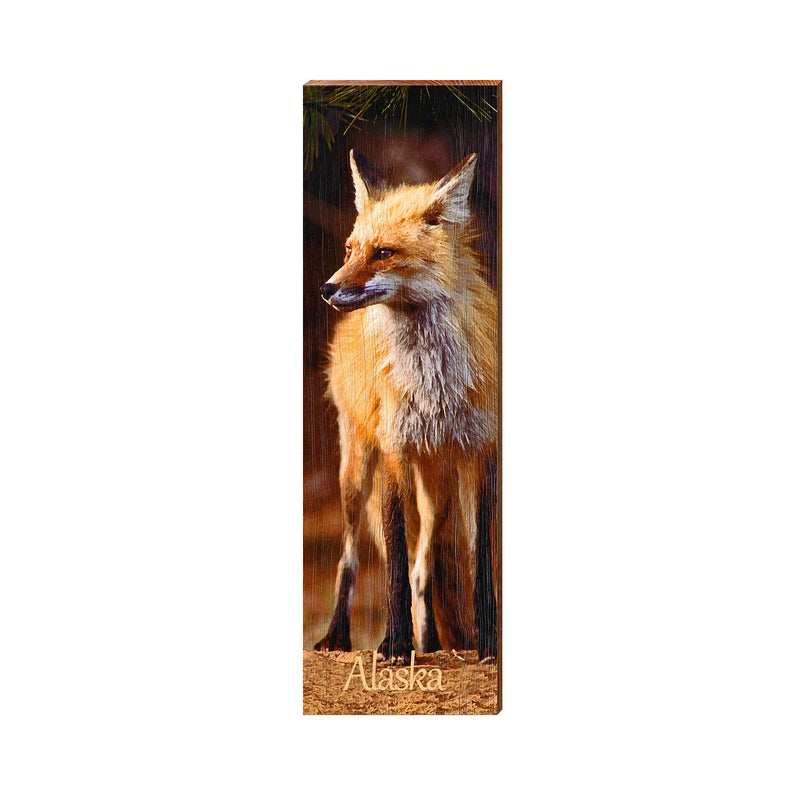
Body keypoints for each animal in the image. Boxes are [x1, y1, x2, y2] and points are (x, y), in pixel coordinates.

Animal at [313, 150, 498, 665]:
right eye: (351, 249)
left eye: (384, 253)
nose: (327, 289)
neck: (433, 380)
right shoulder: (395, 451)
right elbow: (393, 558)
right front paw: (394, 644)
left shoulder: (481, 451)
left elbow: (479, 559)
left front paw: (488, 643)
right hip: (357, 470)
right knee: (351, 557)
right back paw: (338, 636)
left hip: (438, 488)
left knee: (424, 567)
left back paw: (430, 642)